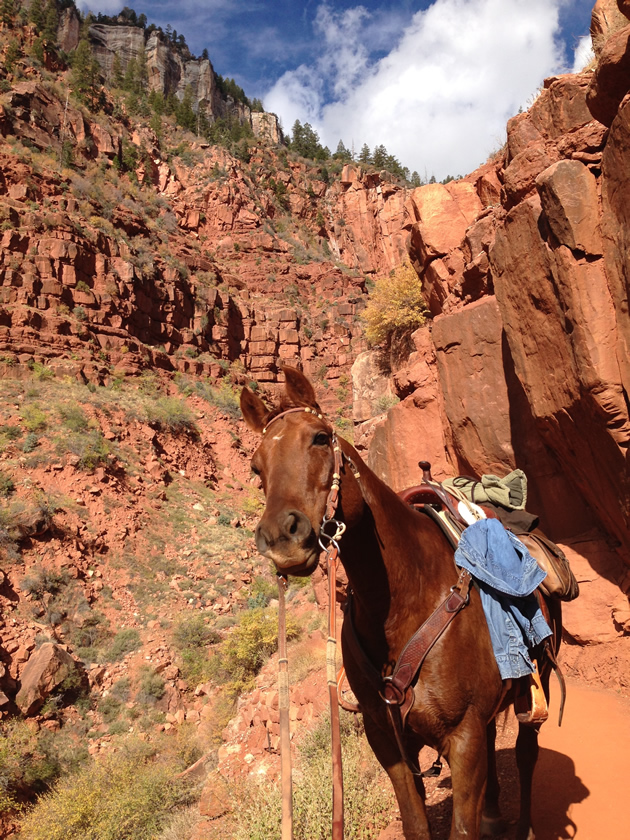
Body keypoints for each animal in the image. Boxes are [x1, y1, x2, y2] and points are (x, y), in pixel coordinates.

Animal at [241, 368, 556, 840]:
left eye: (319, 438)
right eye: (256, 466)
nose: (281, 537)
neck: (405, 601)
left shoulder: (462, 737)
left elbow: (462, 827)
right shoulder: (387, 740)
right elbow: (416, 823)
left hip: (540, 683)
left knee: (526, 752)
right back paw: (493, 815)